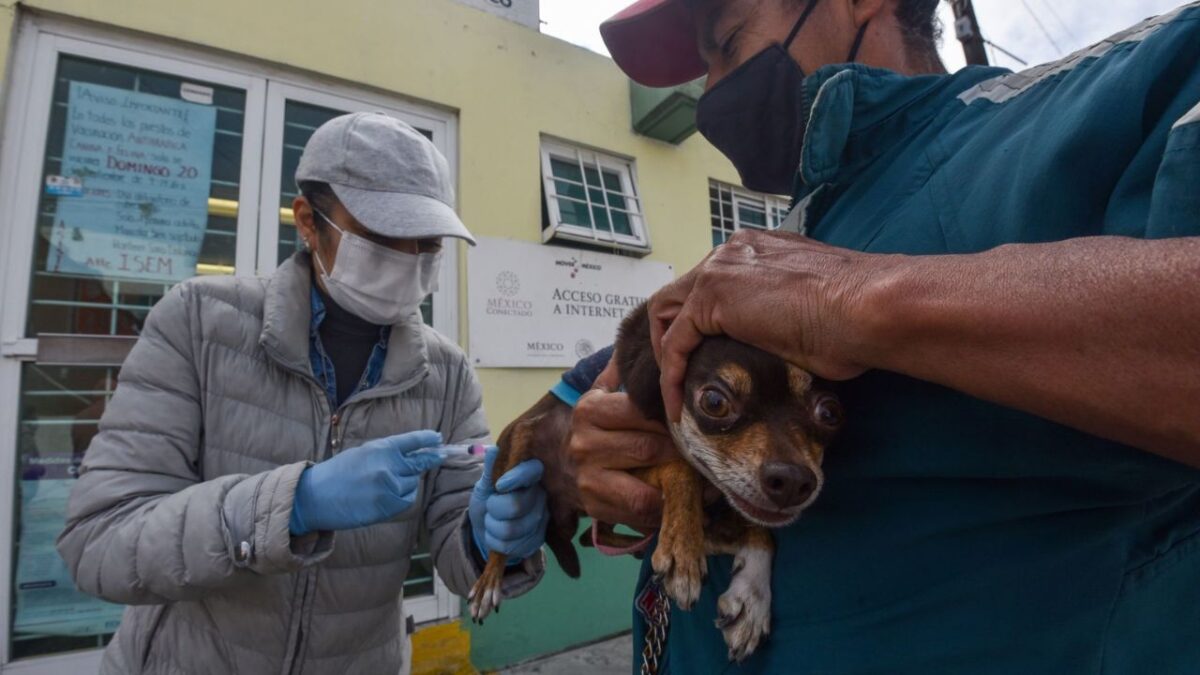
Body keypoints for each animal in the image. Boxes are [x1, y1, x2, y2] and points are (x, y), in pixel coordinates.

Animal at [468, 300, 844, 658]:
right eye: (714, 401)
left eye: (830, 412)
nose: (793, 481)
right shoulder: (618, 456)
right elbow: (681, 467)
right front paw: (682, 548)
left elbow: (760, 533)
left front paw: (751, 597)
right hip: (521, 442)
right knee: (504, 537)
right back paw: (489, 582)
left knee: (592, 536)